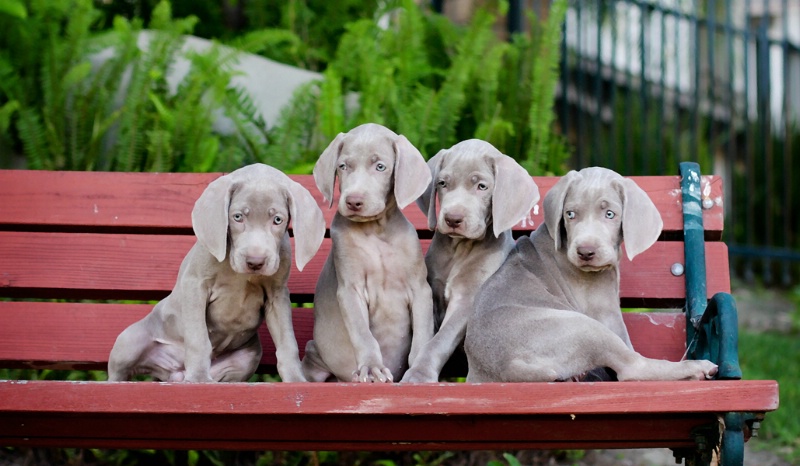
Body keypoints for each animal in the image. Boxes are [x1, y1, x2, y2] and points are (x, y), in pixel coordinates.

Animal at [108, 164, 326, 382]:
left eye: (278, 220)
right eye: (237, 217)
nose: (255, 262)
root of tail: (173, 373)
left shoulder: (277, 295)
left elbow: (287, 343)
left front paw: (296, 379)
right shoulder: (195, 284)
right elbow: (198, 339)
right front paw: (198, 377)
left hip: (248, 357)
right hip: (129, 341)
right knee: (118, 372)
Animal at [302, 124, 438, 382]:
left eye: (380, 166)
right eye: (343, 166)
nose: (353, 201)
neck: (376, 231)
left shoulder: (420, 289)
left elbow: (423, 335)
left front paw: (418, 371)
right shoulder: (350, 290)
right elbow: (363, 334)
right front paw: (372, 367)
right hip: (315, 354)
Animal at [404, 139, 540, 382]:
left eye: (482, 187)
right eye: (442, 183)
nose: (452, 219)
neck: (460, 249)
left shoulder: (467, 300)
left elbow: (439, 341)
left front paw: (419, 373)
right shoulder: (434, 292)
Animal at [462, 167, 720, 382]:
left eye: (610, 214)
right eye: (570, 214)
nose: (586, 252)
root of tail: (508, 365)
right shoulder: (605, 311)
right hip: (585, 327)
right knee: (633, 368)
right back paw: (696, 368)